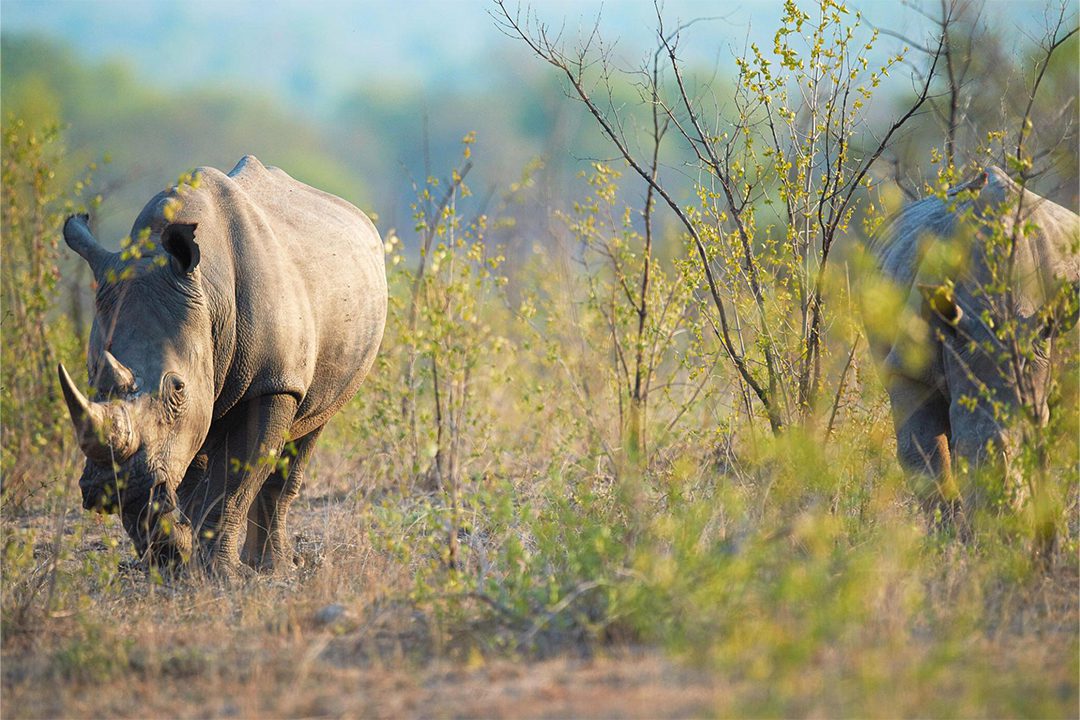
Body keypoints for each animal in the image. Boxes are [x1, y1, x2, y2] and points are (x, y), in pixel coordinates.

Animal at [59, 155, 388, 578]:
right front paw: (176, 565)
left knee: (309, 430)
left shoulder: (271, 382)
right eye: (90, 378)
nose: (109, 488)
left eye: (177, 388)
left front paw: (221, 574)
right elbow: (175, 485)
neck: (210, 295)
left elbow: (233, 481)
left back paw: (275, 568)